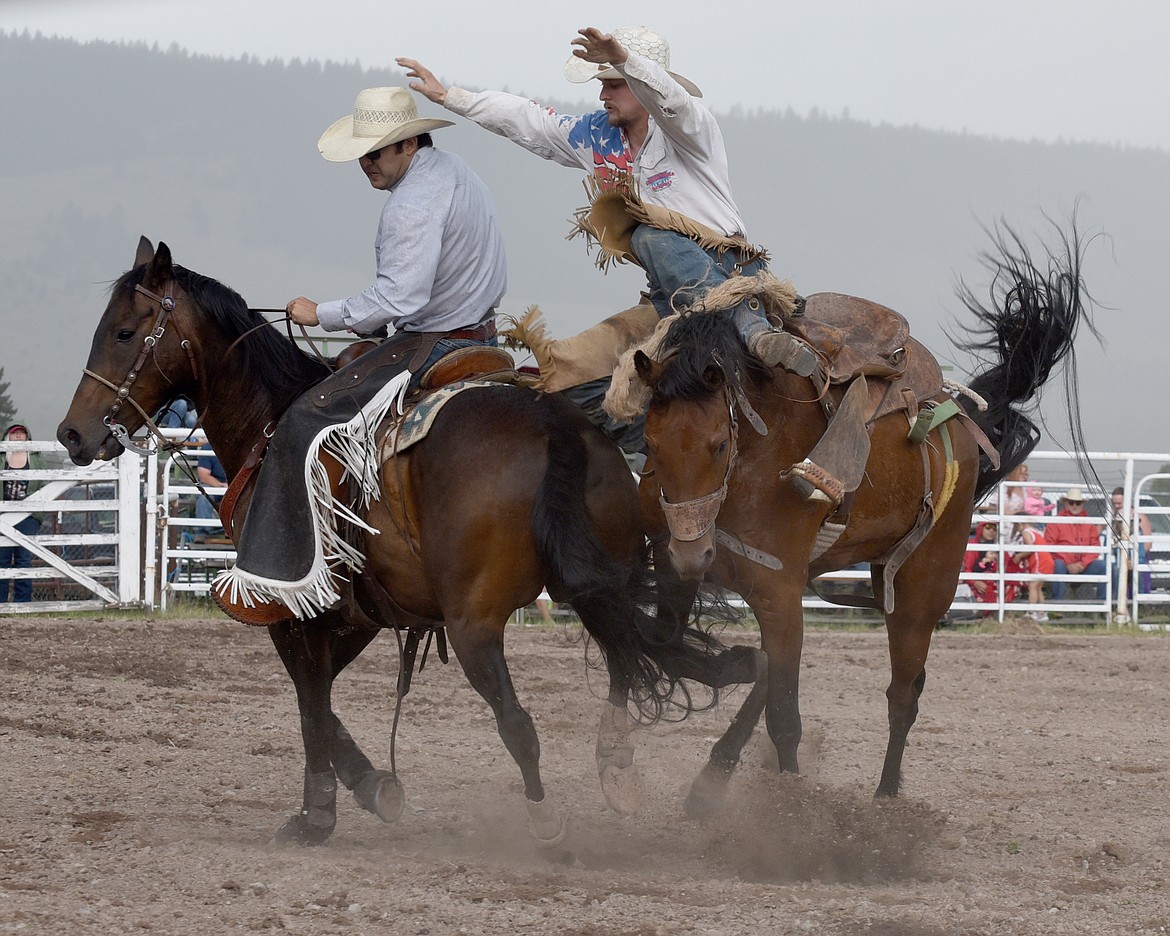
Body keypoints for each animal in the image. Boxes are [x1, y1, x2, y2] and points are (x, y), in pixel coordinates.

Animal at [59, 239, 762, 847]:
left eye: (124, 333)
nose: (72, 433)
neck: (271, 420)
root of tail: (550, 424)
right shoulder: (364, 608)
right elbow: (320, 694)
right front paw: (369, 787)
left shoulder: (294, 607)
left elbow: (311, 699)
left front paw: (322, 811)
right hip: (598, 585)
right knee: (677, 658)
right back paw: (632, 764)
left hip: (475, 622)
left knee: (520, 721)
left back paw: (548, 821)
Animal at [627, 223, 1090, 809]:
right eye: (650, 442)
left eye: (717, 445)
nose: (694, 552)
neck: (754, 454)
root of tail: (959, 418)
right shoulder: (684, 571)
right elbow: (677, 647)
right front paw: (733, 670)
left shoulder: (778, 591)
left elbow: (786, 717)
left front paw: (786, 806)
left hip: (922, 587)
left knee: (903, 695)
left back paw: (886, 800)